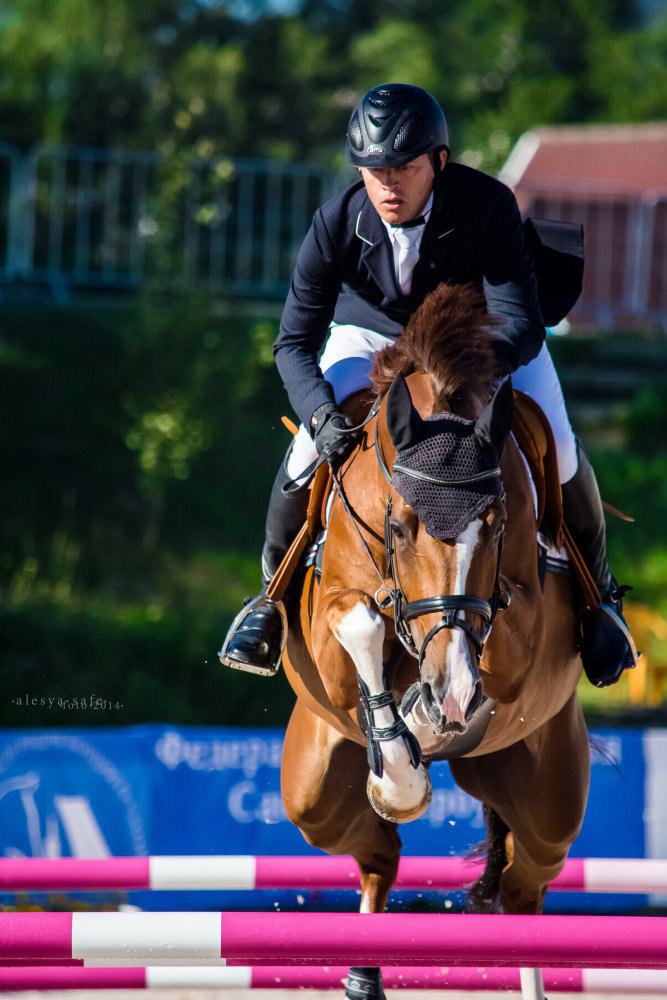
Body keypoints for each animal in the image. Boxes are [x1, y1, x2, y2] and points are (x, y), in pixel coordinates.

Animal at [282, 288, 588, 992]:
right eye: (399, 523)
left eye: (497, 524)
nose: (449, 690)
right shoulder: (331, 639)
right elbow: (362, 619)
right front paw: (404, 764)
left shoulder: (518, 633)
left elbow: (491, 644)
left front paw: (438, 705)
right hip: (314, 788)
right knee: (377, 854)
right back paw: (363, 972)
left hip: (549, 804)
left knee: (524, 887)